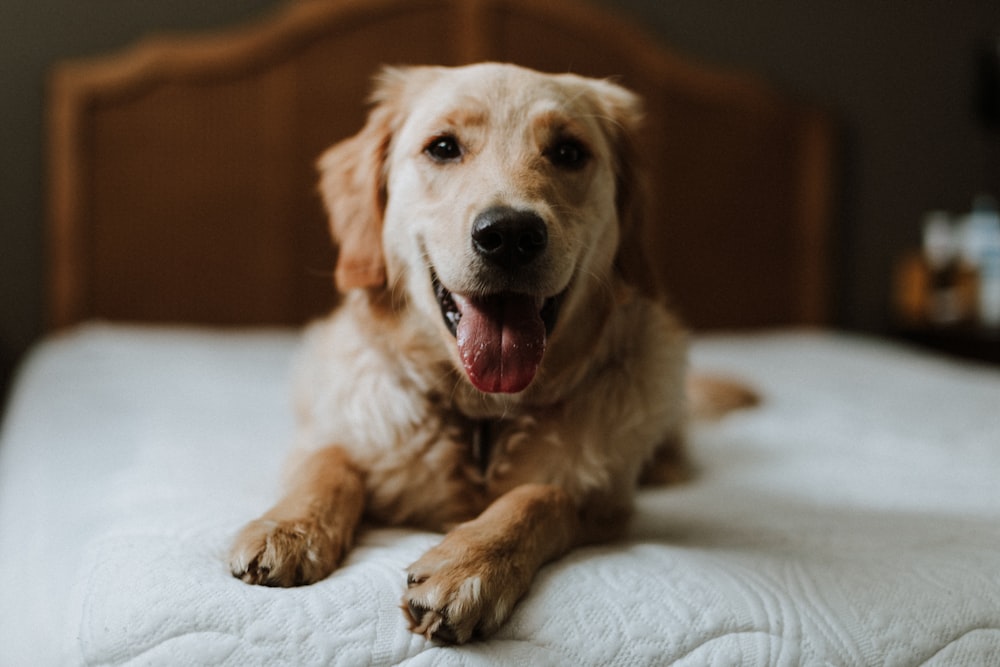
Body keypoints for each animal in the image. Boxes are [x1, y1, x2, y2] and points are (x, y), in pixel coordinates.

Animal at [229, 62, 744, 640]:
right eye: (443, 147)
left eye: (568, 152)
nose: (510, 235)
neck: (483, 419)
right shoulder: (340, 429)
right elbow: (329, 465)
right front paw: (290, 527)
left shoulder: (608, 502)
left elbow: (541, 497)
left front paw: (469, 566)